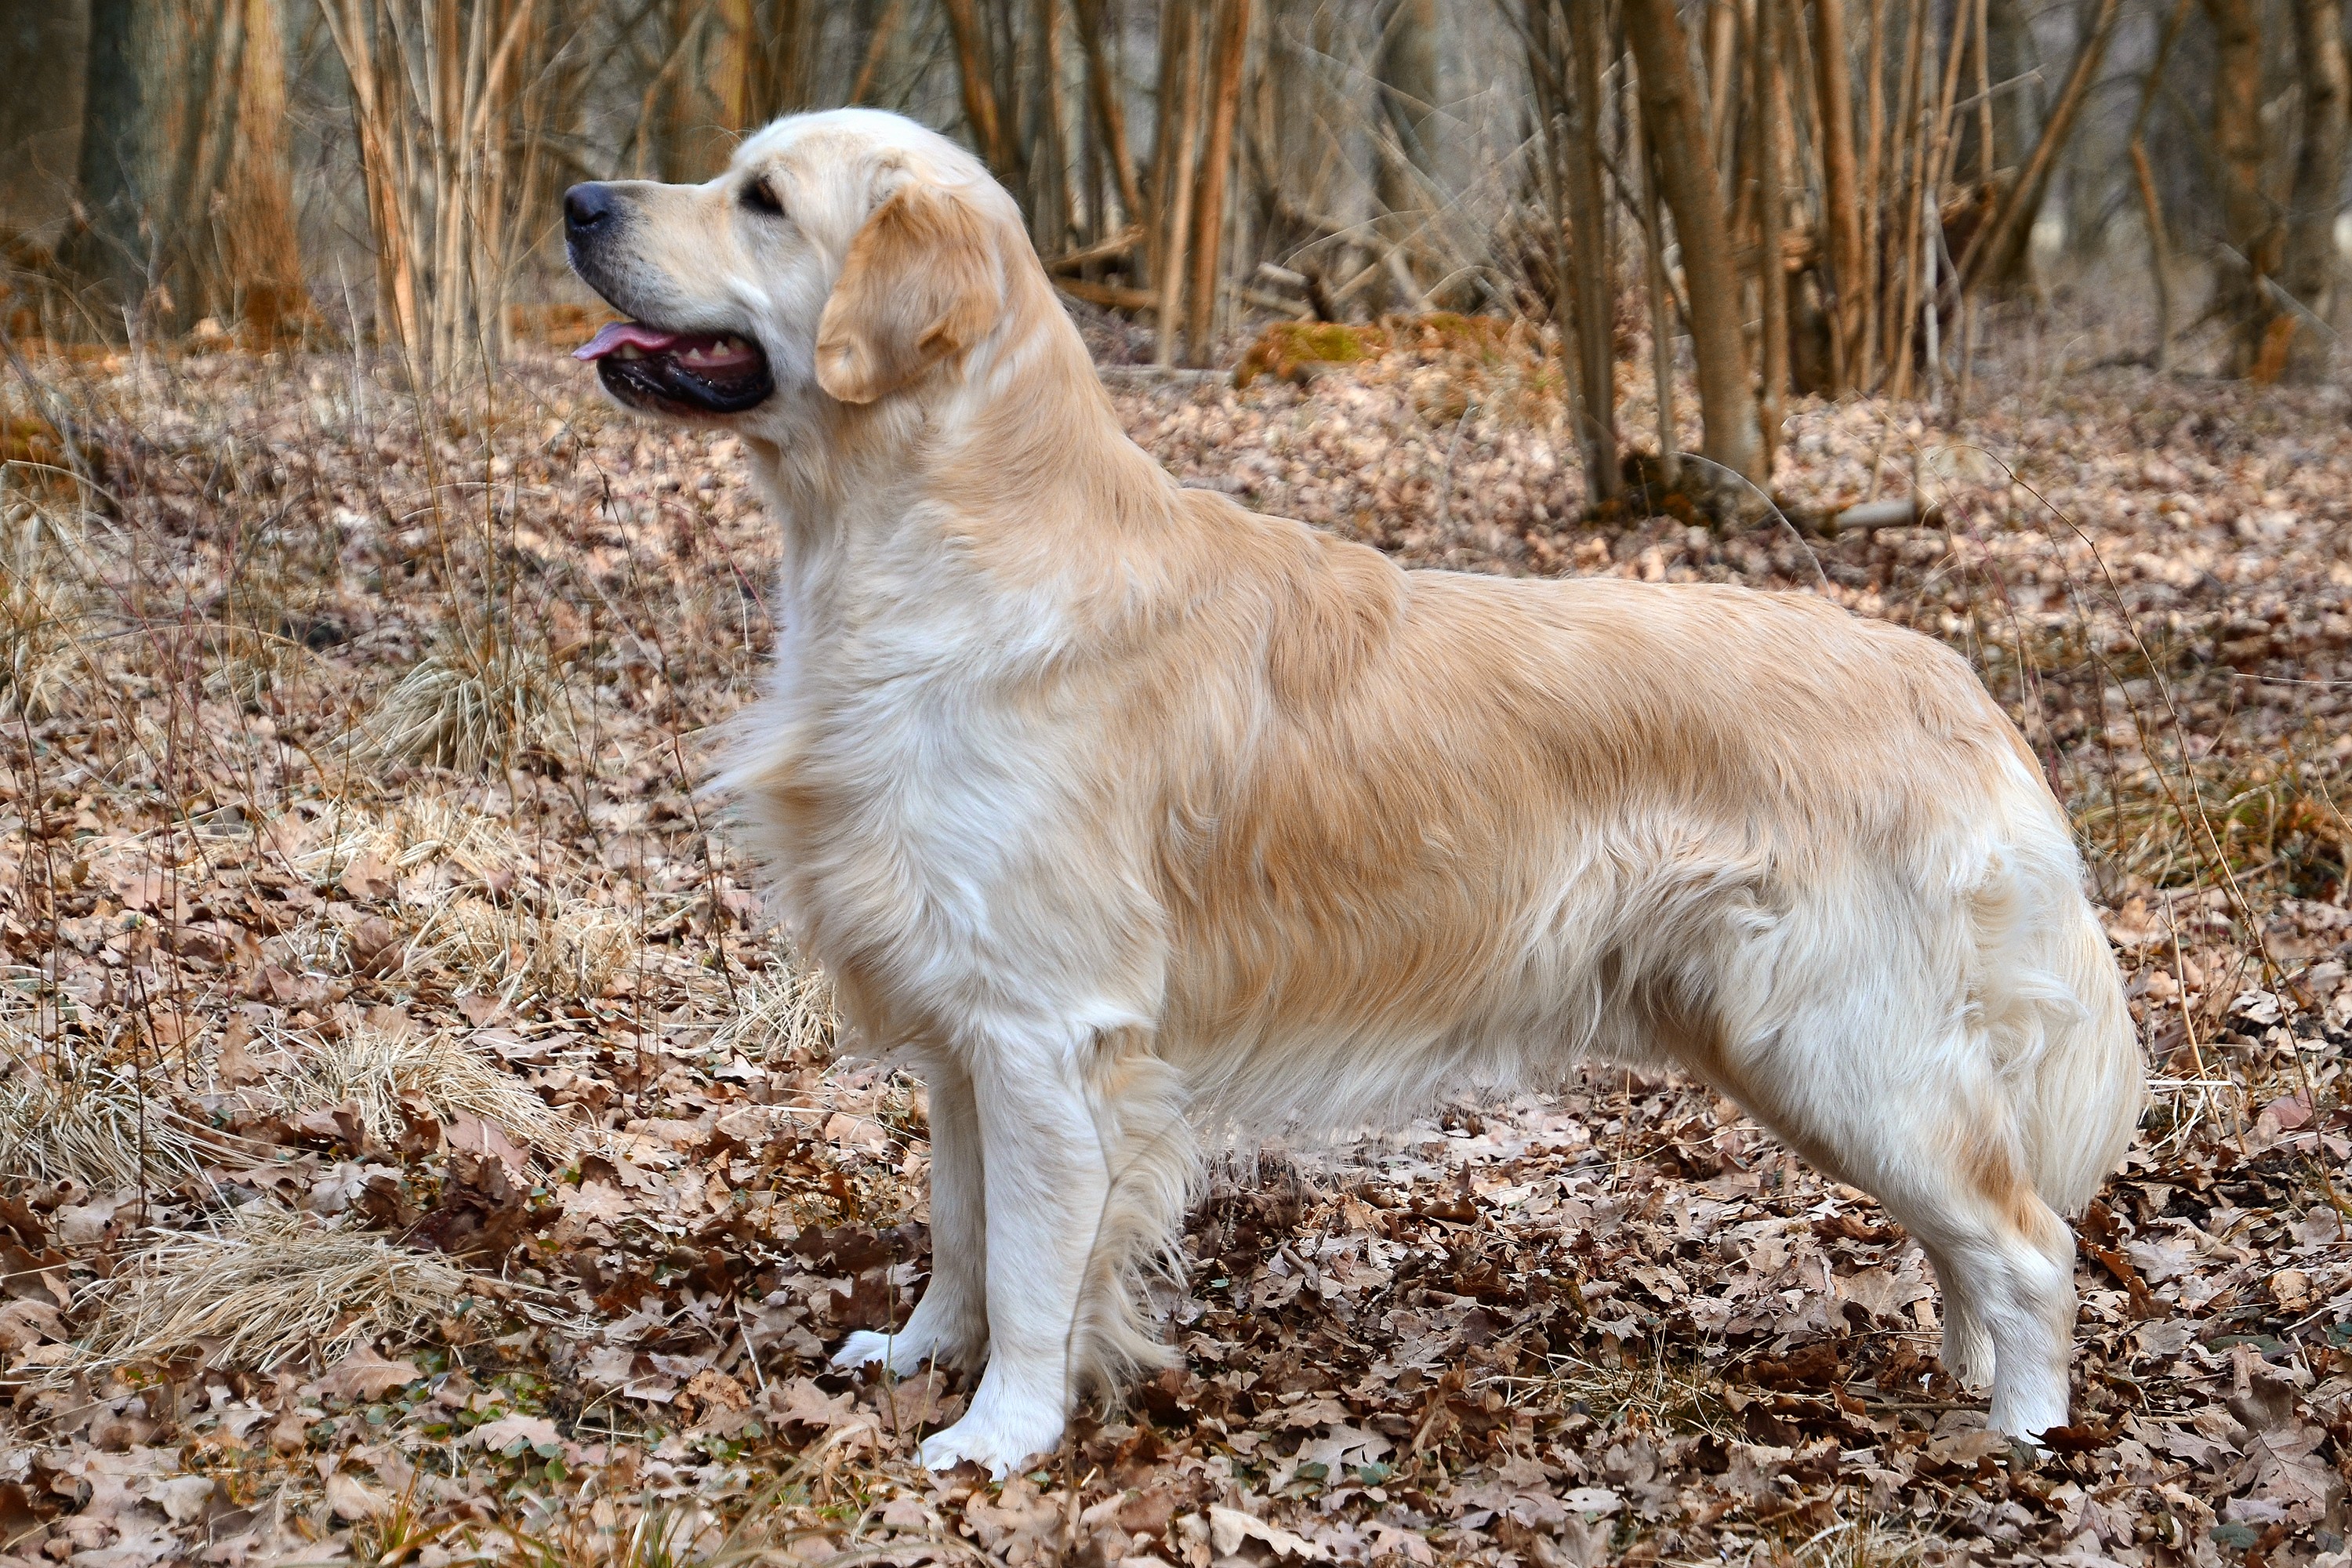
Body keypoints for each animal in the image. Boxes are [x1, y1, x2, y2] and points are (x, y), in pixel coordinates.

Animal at [564, 107, 2154, 1476]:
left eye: (764, 201)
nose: (580, 200)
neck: (943, 540)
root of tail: (1952, 683)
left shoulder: (1045, 1027)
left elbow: (1028, 1263)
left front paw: (999, 1435)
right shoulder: (966, 1022)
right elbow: (958, 1228)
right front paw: (915, 1359)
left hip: (1839, 1044)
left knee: (2031, 1244)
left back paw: (2026, 1439)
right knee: (1976, 1234)